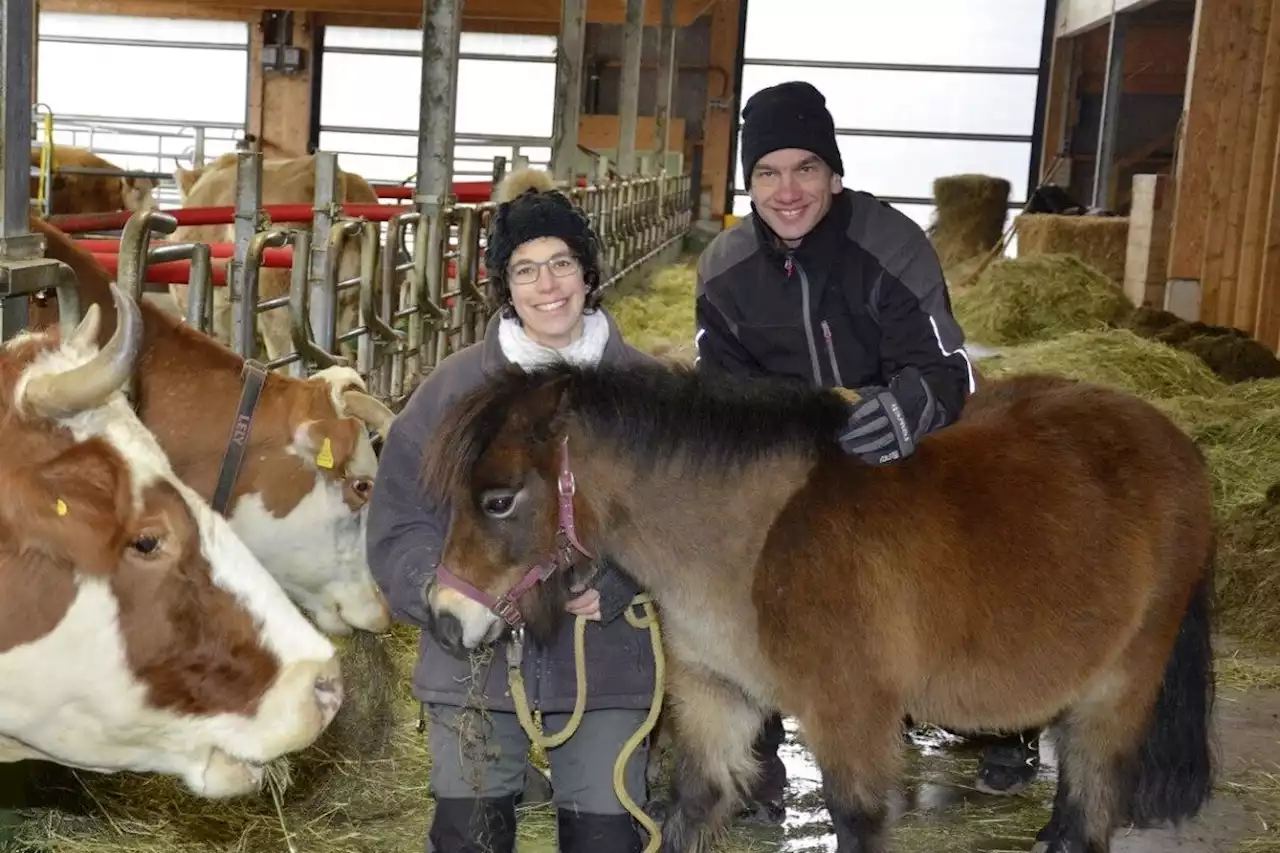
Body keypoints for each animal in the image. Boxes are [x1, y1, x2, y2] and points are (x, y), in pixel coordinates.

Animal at [422, 361, 1218, 850]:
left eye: (498, 500)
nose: (444, 617)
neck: (759, 539)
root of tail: (1175, 441)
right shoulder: (717, 698)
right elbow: (693, 804)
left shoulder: (850, 717)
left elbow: (857, 820)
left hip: (1120, 685)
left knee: (1092, 796)